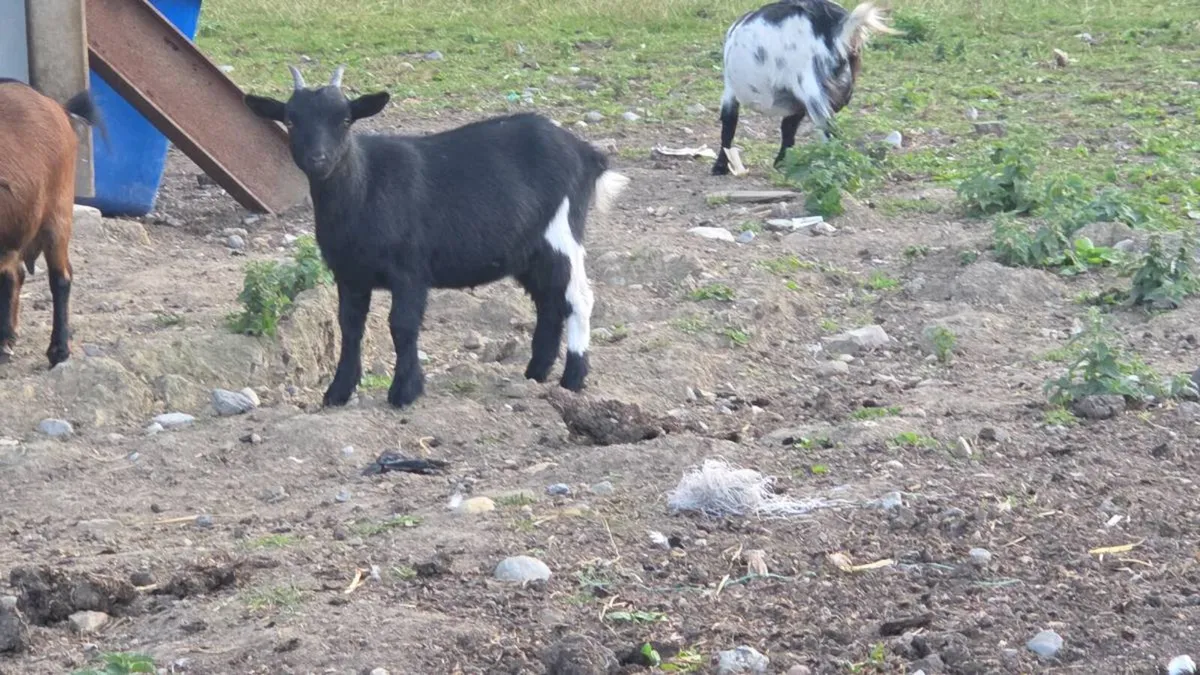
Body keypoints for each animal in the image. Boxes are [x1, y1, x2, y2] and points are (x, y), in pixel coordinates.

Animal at [244, 66, 630, 409]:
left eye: (345, 119)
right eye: (291, 120)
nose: (318, 159)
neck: (365, 186)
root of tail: (585, 153)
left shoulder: (410, 270)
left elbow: (402, 325)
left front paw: (404, 391)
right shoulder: (350, 275)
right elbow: (350, 327)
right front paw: (338, 392)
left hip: (561, 232)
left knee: (578, 298)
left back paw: (573, 378)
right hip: (528, 250)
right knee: (549, 301)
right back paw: (535, 373)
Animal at [711, 0, 898, 175]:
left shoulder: (730, 92)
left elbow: (728, 127)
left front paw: (720, 166)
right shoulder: (797, 105)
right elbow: (788, 129)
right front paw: (781, 162)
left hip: (811, 90)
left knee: (831, 133)